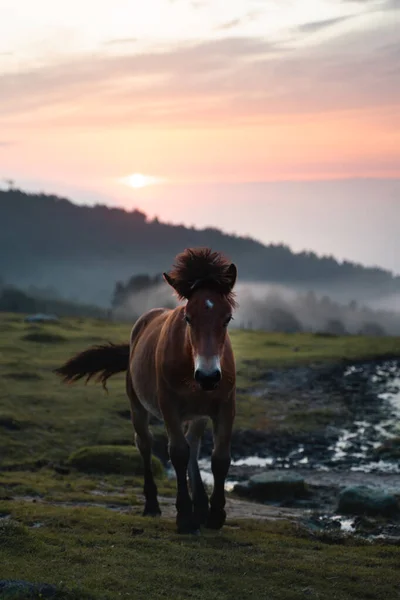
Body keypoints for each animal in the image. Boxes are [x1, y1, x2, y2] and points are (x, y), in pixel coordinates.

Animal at [54, 248, 236, 536]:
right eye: (188, 318)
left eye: (227, 318)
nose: (208, 377)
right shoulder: (169, 406)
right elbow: (178, 453)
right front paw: (184, 517)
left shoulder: (225, 406)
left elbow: (220, 459)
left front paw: (215, 515)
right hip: (137, 406)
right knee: (146, 443)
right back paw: (153, 505)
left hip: (198, 414)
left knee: (194, 444)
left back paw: (201, 506)